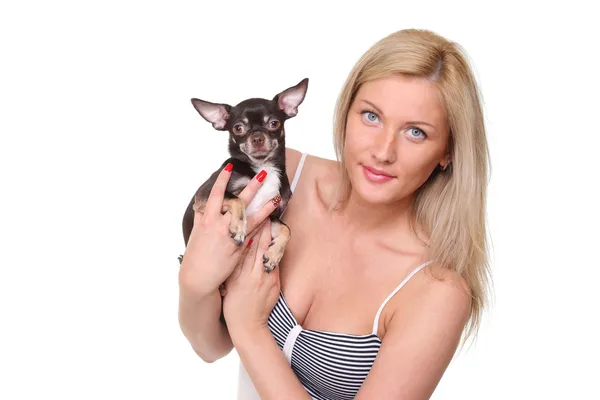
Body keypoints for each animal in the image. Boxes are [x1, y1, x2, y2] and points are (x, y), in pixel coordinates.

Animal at [177, 77, 310, 274]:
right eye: (238, 128)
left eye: (274, 123)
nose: (257, 137)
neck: (263, 167)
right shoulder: (204, 196)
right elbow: (237, 199)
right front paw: (239, 228)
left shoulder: (270, 215)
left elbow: (287, 230)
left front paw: (273, 256)